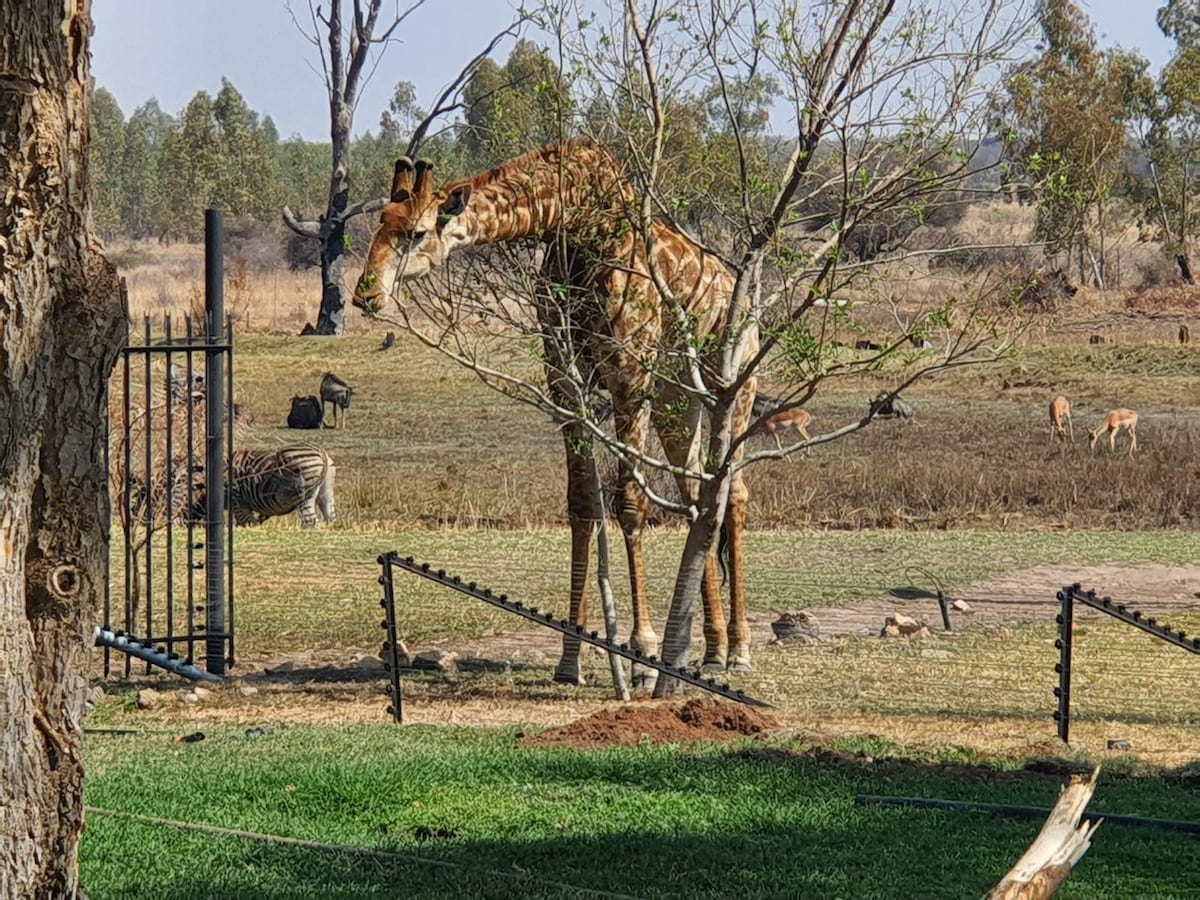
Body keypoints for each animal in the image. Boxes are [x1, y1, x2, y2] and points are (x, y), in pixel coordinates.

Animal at [189, 446, 336, 528]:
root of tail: (322, 454)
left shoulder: (239, 502)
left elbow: (249, 523)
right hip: (326, 490)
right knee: (329, 516)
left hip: (304, 493)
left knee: (311, 522)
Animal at [350, 141, 753, 686]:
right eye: (378, 225)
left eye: (415, 233)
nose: (366, 295)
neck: (574, 221)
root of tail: (737, 286)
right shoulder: (562, 375)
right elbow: (582, 502)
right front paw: (571, 658)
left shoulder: (629, 370)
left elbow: (630, 503)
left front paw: (641, 654)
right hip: (679, 396)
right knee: (698, 492)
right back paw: (708, 650)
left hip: (734, 384)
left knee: (733, 492)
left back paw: (738, 648)